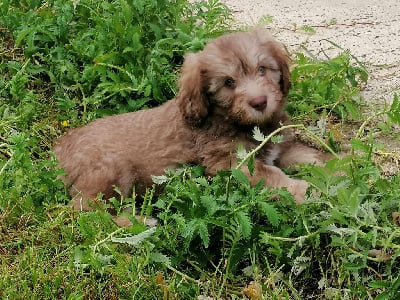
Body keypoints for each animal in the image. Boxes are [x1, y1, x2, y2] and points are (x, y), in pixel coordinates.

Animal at [53, 28, 326, 225]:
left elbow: (312, 157)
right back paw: (139, 223)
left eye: (263, 69)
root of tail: (57, 150)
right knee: (85, 211)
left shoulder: (282, 147)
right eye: (228, 82)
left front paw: (335, 169)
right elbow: (273, 177)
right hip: (112, 168)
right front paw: (308, 191)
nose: (259, 102)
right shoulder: (230, 164)